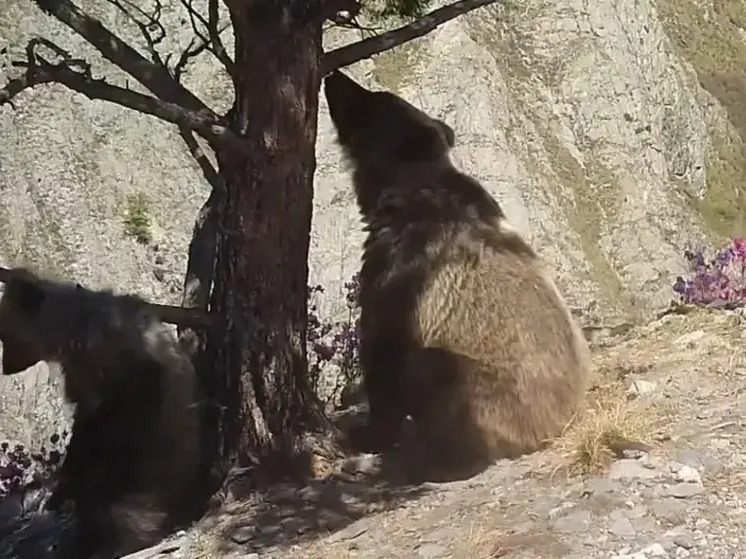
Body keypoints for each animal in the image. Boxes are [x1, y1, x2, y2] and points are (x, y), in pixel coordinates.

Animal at [0, 270, 202, 556]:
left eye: (5, 334)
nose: (5, 367)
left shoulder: (128, 365)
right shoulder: (81, 382)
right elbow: (84, 427)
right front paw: (60, 491)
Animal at [322, 70, 588, 482]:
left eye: (372, 101)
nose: (333, 76)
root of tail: (558, 425)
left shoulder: (403, 270)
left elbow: (382, 351)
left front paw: (366, 436)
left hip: (483, 390)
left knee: (435, 378)